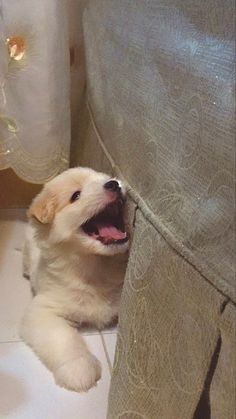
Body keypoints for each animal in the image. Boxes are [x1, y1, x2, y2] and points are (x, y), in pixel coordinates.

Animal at [21, 167, 129, 394]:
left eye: (107, 178)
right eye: (76, 196)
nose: (114, 184)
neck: (95, 270)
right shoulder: (42, 310)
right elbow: (64, 338)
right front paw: (79, 370)